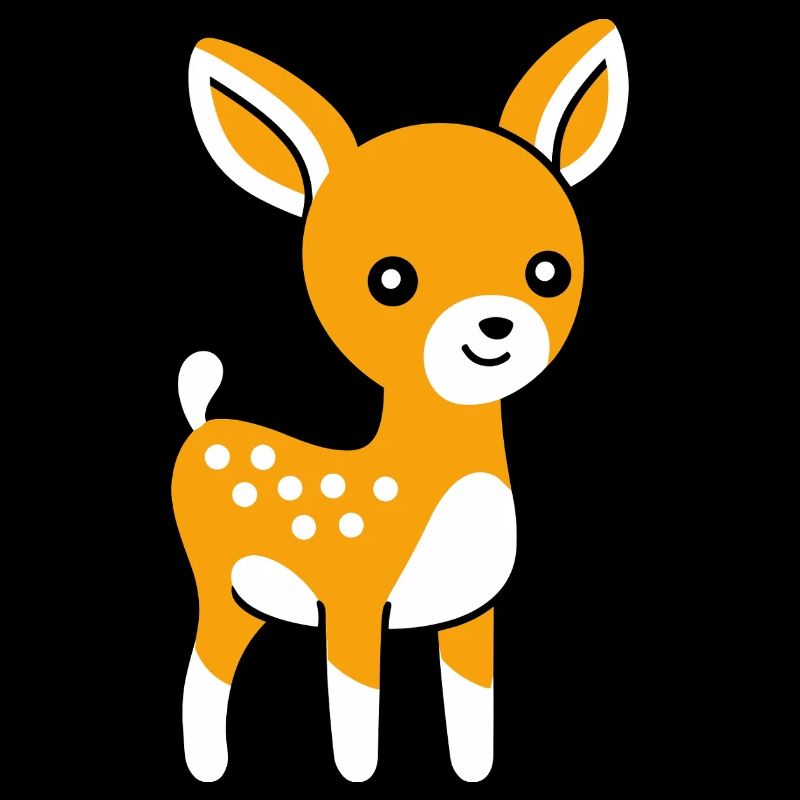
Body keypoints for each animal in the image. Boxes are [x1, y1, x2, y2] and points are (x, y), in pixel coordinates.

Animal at [173, 19, 628, 783]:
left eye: (549, 271)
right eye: (389, 280)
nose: (495, 326)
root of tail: (203, 422)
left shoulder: (474, 615)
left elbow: (474, 710)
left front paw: (473, 774)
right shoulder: (351, 603)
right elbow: (357, 714)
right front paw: (358, 778)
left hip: (250, 597)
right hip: (214, 577)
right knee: (205, 666)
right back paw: (207, 767)